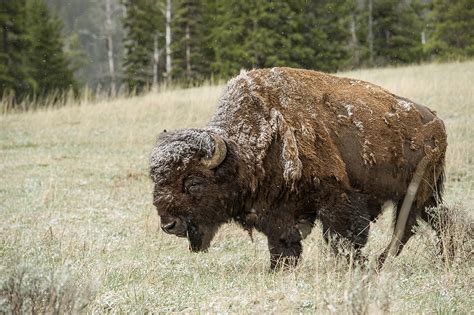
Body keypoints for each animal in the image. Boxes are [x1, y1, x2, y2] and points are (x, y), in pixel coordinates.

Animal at [150, 68, 446, 270]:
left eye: (193, 182)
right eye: (157, 182)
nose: (169, 225)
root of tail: (435, 118)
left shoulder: (336, 199)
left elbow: (344, 237)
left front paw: (352, 265)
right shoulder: (276, 212)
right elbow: (282, 242)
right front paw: (278, 268)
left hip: (416, 192)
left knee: (407, 227)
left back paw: (383, 262)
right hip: (427, 195)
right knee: (436, 221)